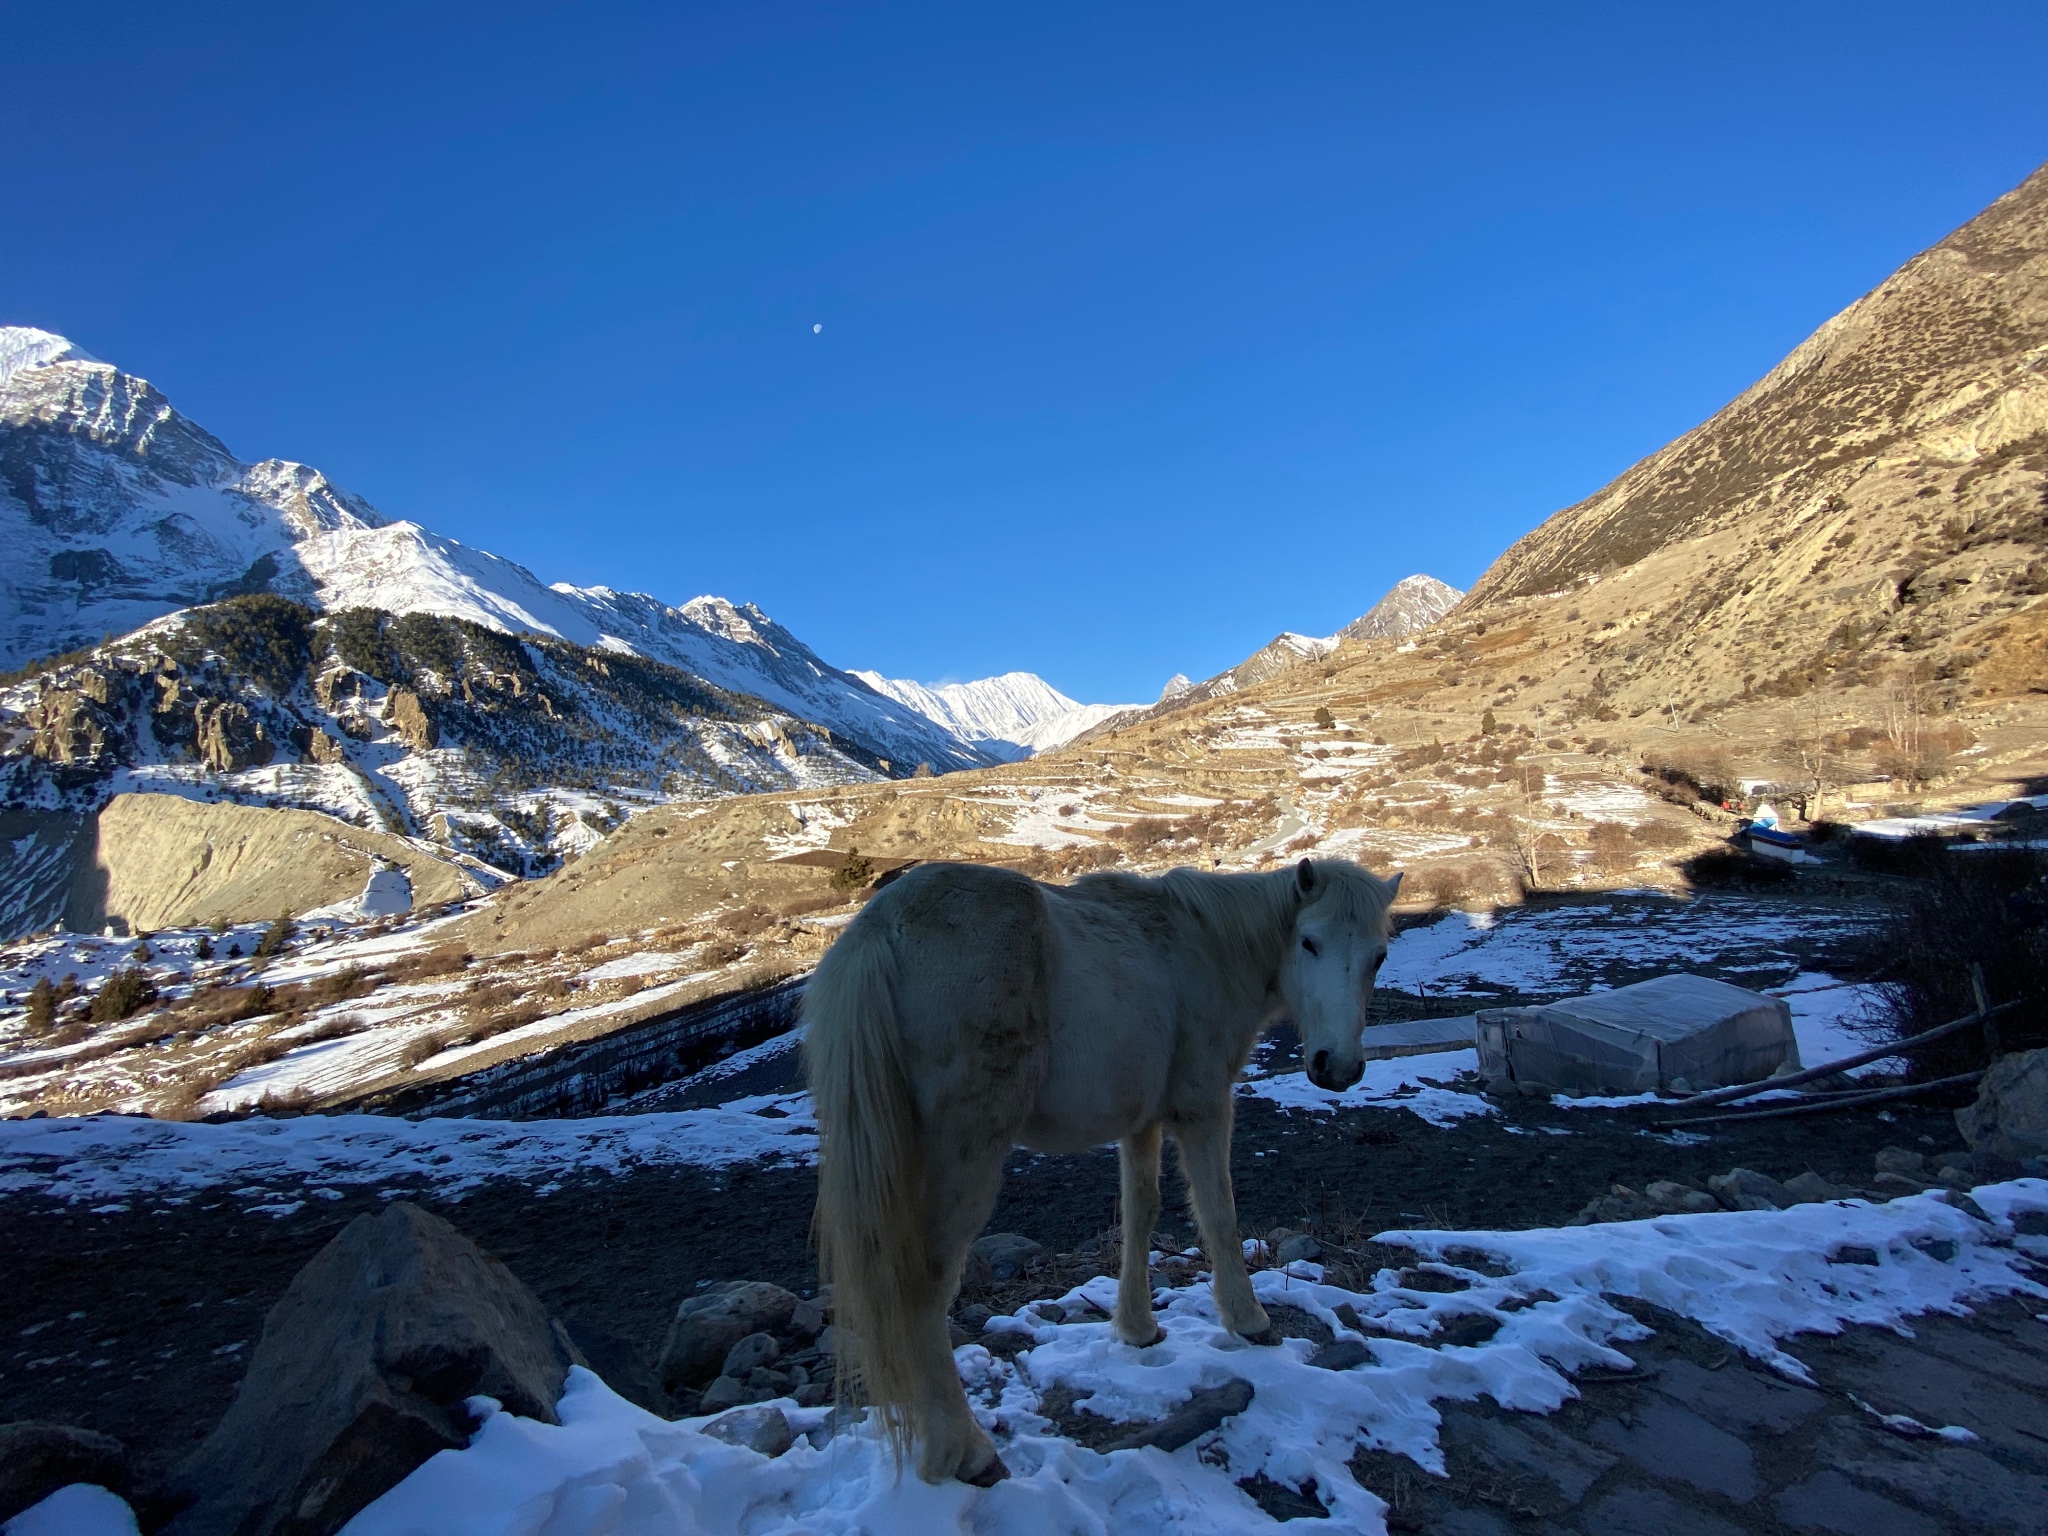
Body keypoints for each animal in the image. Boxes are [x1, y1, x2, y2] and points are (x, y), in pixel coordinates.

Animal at [806, 860, 1400, 1482]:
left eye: (1378, 956)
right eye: (1309, 942)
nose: (1338, 1067)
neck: (1206, 946)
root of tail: (881, 927)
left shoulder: (1140, 1121)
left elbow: (1140, 1214)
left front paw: (1137, 1328)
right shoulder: (1203, 1108)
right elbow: (1219, 1212)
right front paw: (1249, 1319)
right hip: (964, 1152)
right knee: (924, 1287)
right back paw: (966, 1452)